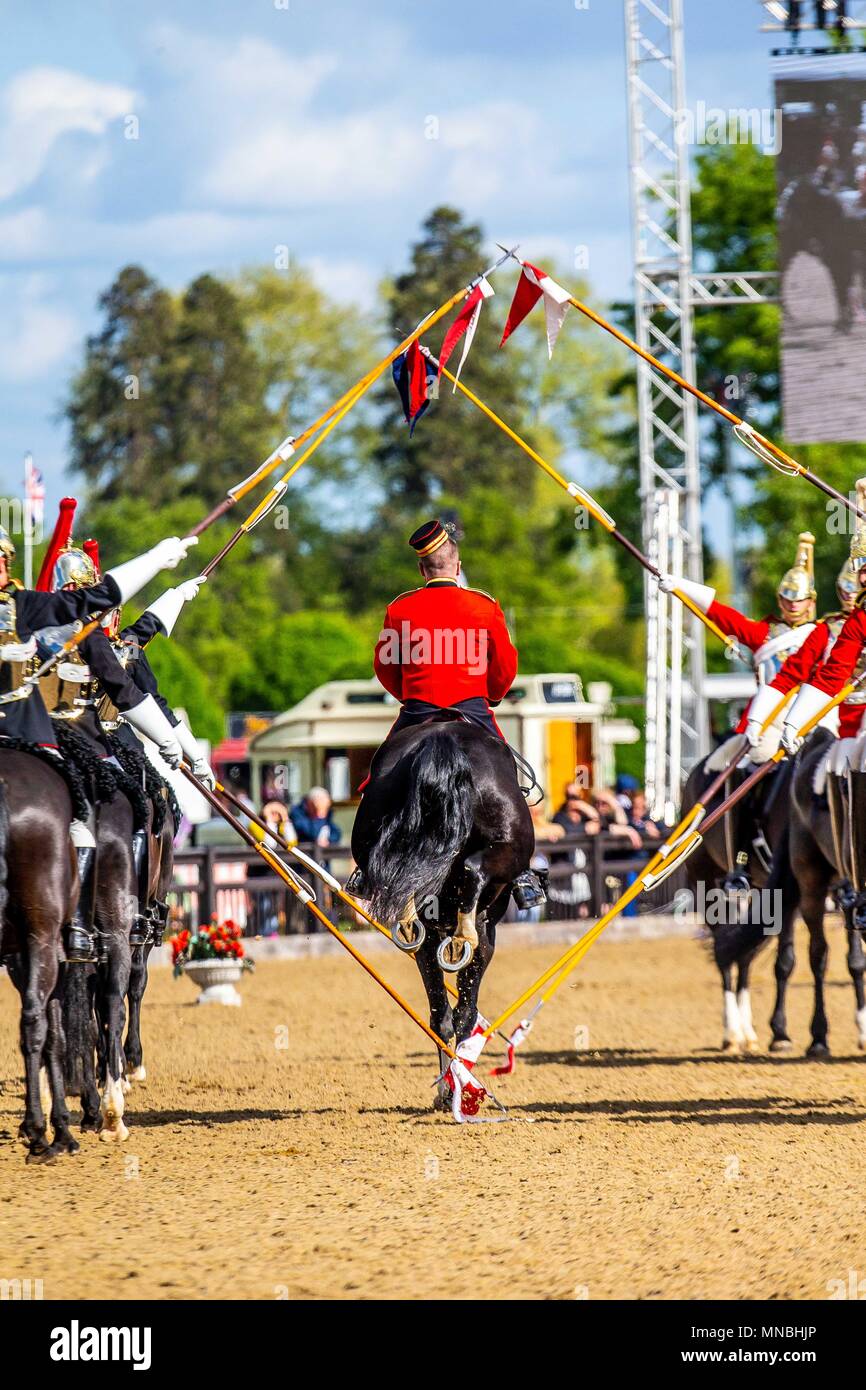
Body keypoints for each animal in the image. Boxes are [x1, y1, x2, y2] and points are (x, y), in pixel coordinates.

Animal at [353, 717, 536, 1095]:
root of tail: (442, 740)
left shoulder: (429, 938)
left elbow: (441, 1016)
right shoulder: (487, 932)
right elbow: (464, 1014)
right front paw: (454, 1085)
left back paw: (409, 920)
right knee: (473, 870)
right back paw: (461, 938)